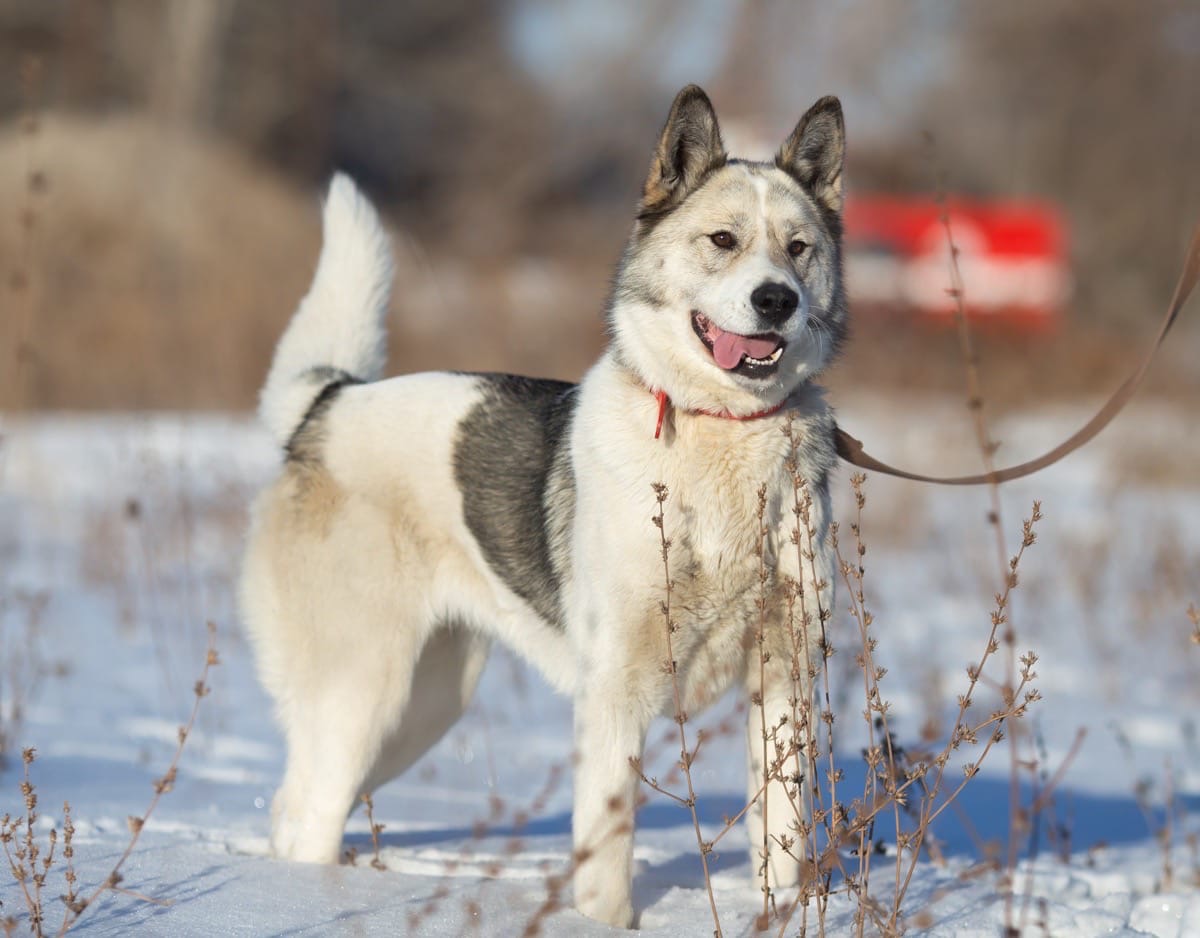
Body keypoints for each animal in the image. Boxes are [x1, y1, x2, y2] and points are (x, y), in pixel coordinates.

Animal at [241, 84, 844, 930]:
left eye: (798, 248)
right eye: (723, 240)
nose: (776, 300)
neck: (722, 432)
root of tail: (327, 404)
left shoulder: (784, 680)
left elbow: (782, 845)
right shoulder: (616, 692)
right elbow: (608, 851)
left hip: (426, 705)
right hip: (364, 692)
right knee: (308, 818)